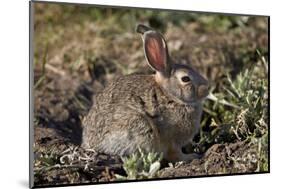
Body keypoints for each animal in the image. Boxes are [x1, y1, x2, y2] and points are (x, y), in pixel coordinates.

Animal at [81, 24, 208, 162]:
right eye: (185, 79)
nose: (206, 88)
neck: (170, 95)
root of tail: (89, 145)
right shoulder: (171, 139)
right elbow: (175, 153)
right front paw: (191, 156)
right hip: (140, 127)